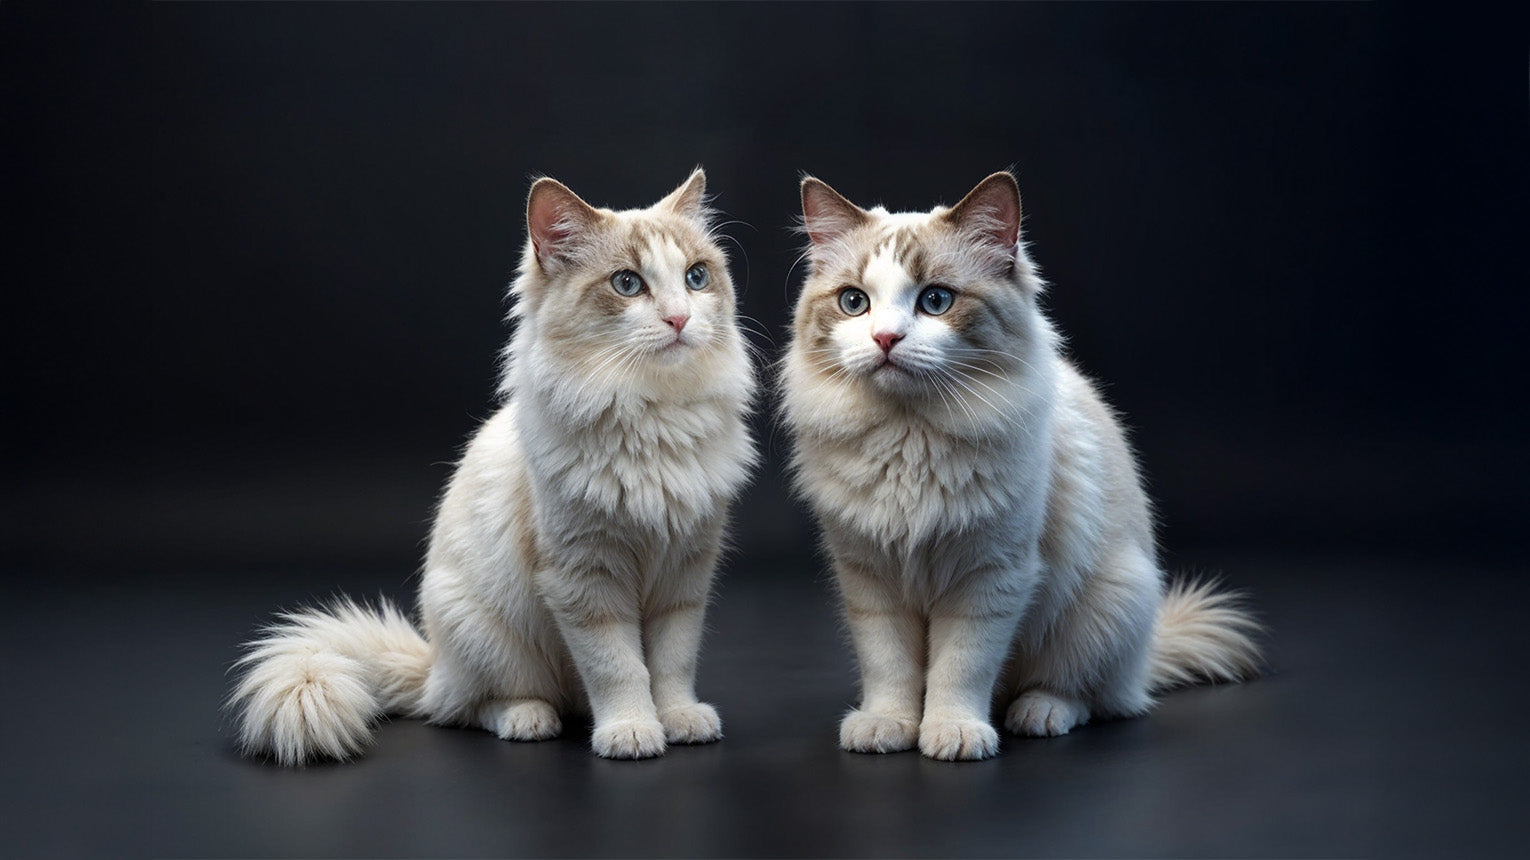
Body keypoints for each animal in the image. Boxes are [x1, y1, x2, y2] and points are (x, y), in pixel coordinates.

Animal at [232, 167, 758, 755]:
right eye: (627, 284)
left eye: (696, 277)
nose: (679, 319)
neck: (653, 417)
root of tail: (433, 664)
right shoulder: (585, 579)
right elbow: (618, 667)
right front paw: (631, 731)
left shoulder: (685, 575)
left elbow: (670, 663)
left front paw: (679, 719)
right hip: (490, 638)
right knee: (467, 708)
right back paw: (529, 720)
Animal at [783, 172, 1260, 755]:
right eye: (854, 303)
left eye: (935, 300)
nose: (885, 339)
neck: (909, 438)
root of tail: (1145, 659)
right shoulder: (870, 577)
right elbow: (889, 666)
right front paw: (887, 725)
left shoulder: (991, 577)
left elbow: (960, 667)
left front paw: (954, 733)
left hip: (1110, 603)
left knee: (1088, 695)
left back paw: (1037, 714)